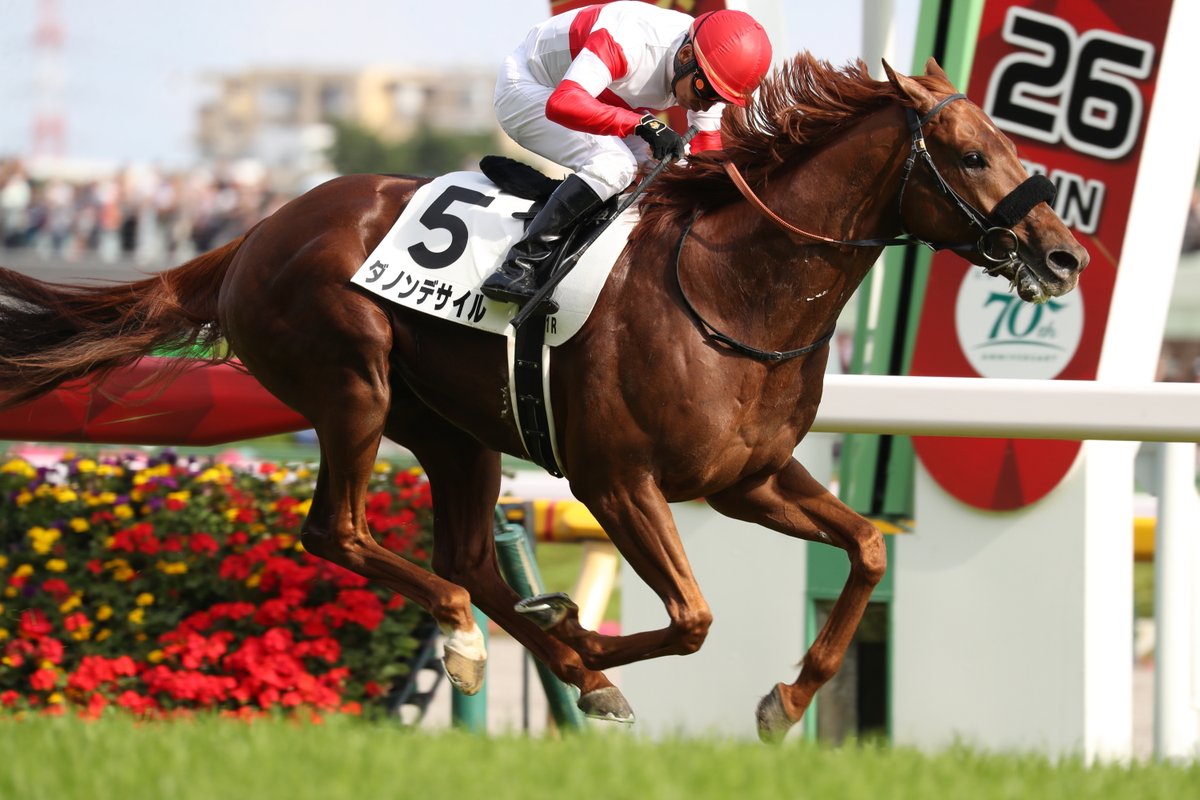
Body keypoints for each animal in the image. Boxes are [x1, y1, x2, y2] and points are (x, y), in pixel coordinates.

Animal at [0, 54, 1087, 742]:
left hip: (454, 432)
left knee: (470, 557)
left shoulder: (748, 478)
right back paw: (492, 643)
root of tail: (258, 230)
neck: (737, 286)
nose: (1064, 255)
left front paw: (784, 700)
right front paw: (585, 628)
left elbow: (865, 548)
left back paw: (572, 672)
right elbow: (692, 615)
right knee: (342, 532)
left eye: (1005, 139)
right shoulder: (617, 481)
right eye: (974, 153)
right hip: (351, 385)